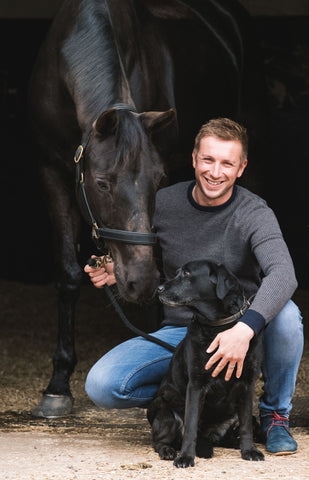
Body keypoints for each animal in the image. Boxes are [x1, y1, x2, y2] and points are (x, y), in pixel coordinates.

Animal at [27, 0, 266, 416]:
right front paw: (57, 385)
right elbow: (69, 276)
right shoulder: (50, 169)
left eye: (157, 180)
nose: (138, 282)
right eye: (102, 183)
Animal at [146, 260, 262, 466]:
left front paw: (249, 450)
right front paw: (186, 457)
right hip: (164, 408)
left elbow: (247, 424)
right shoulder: (196, 385)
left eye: (186, 273)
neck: (219, 327)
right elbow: (191, 426)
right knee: (159, 440)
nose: (158, 289)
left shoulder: (247, 384)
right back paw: (168, 450)